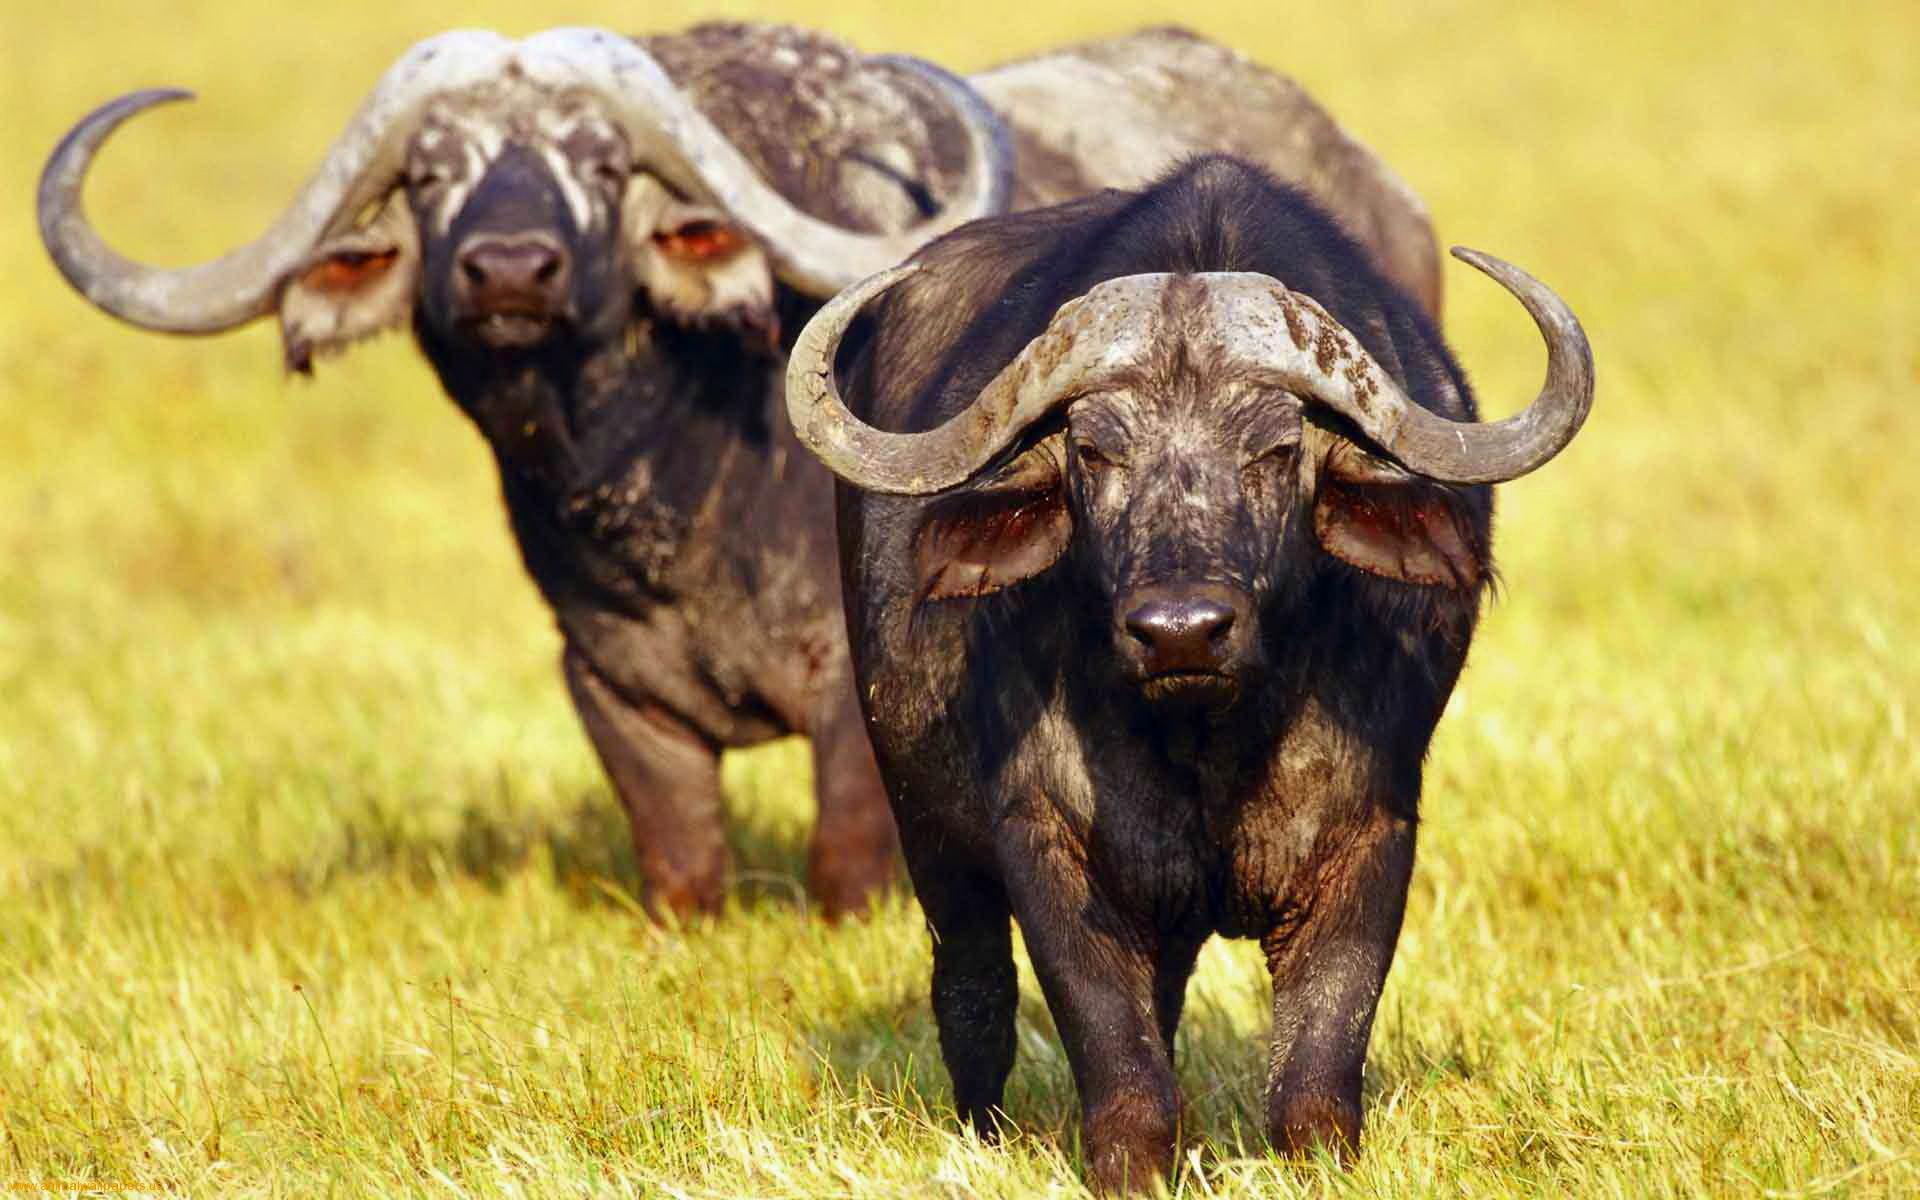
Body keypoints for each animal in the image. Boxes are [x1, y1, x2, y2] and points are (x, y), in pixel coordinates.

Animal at [40, 24, 1441, 919]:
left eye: (602, 164)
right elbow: (685, 874)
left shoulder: (856, 706)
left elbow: (847, 875)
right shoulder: (613, 695)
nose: (508, 271)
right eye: (431, 173)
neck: (674, 495)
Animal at [788, 156, 1593, 1187]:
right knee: (972, 993)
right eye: (1094, 450)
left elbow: (1315, 1075)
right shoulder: (1046, 842)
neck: (1212, 740)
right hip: (925, 827)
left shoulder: (1372, 838)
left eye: (1277, 449)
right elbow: (1119, 1066)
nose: (1181, 633)